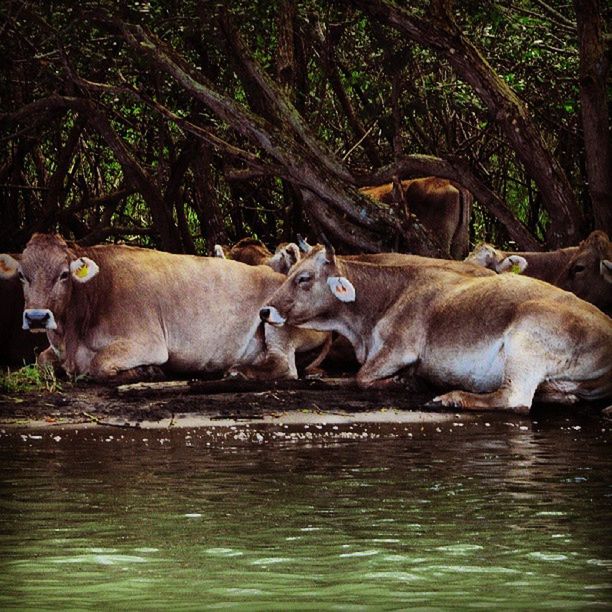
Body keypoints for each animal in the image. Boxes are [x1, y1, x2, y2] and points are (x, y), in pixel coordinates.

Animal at [0, 233, 328, 382]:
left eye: (64, 275)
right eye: (22, 276)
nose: (37, 316)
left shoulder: (147, 342)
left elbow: (99, 365)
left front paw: (146, 370)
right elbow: (42, 361)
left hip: (279, 322)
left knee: (285, 366)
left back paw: (238, 371)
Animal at [260, 243, 612, 412]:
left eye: (303, 278)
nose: (265, 310)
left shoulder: (400, 347)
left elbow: (360, 378)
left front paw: (402, 382)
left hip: (526, 340)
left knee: (514, 399)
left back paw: (452, 397)